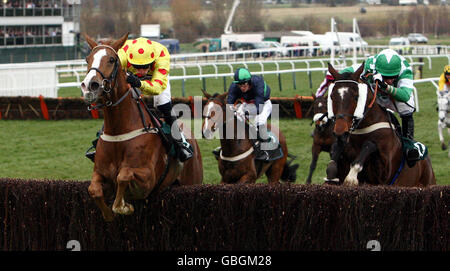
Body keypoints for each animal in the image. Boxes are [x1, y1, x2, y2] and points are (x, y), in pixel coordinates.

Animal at [80, 33, 203, 222]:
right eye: (87, 59)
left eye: (111, 59)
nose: (89, 86)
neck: (119, 132)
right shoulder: (100, 173)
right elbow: (93, 190)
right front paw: (109, 213)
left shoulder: (148, 178)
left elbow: (123, 176)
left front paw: (123, 206)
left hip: (193, 179)